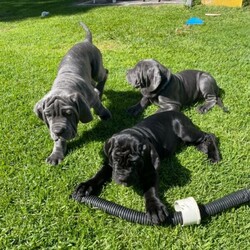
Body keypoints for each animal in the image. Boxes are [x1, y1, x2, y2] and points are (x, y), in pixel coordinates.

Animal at [33, 22, 111, 166]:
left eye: (69, 113)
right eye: (48, 115)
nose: (58, 132)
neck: (63, 86)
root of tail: (85, 41)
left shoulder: (91, 99)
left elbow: (99, 108)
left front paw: (105, 115)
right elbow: (59, 140)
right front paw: (56, 154)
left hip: (97, 69)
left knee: (104, 74)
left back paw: (100, 90)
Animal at [72, 111, 221, 225]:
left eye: (134, 163)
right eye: (116, 159)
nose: (122, 179)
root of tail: (180, 113)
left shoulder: (150, 170)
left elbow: (150, 190)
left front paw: (154, 208)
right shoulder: (109, 164)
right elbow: (100, 174)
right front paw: (86, 186)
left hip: (186, 131)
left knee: (210, 135)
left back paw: (213, 155)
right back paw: (203, 148)